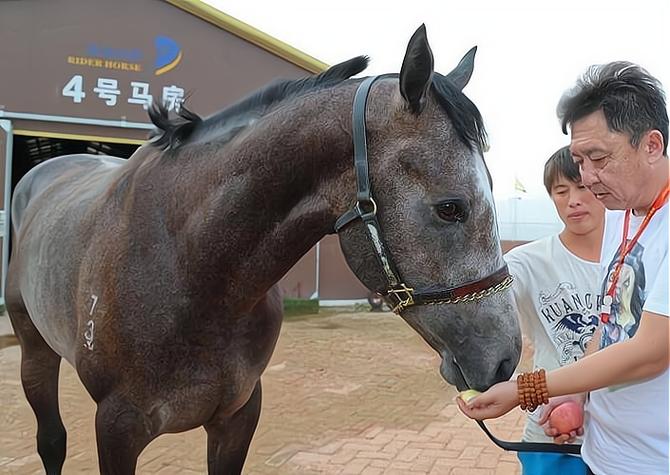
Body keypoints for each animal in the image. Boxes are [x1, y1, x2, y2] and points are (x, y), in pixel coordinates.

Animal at [6, 25, 521, 474]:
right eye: (450, 208)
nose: (506, 359)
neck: (186, 267)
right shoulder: (116, 426)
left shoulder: (238, 415)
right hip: (35, 352)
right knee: (51, 440)